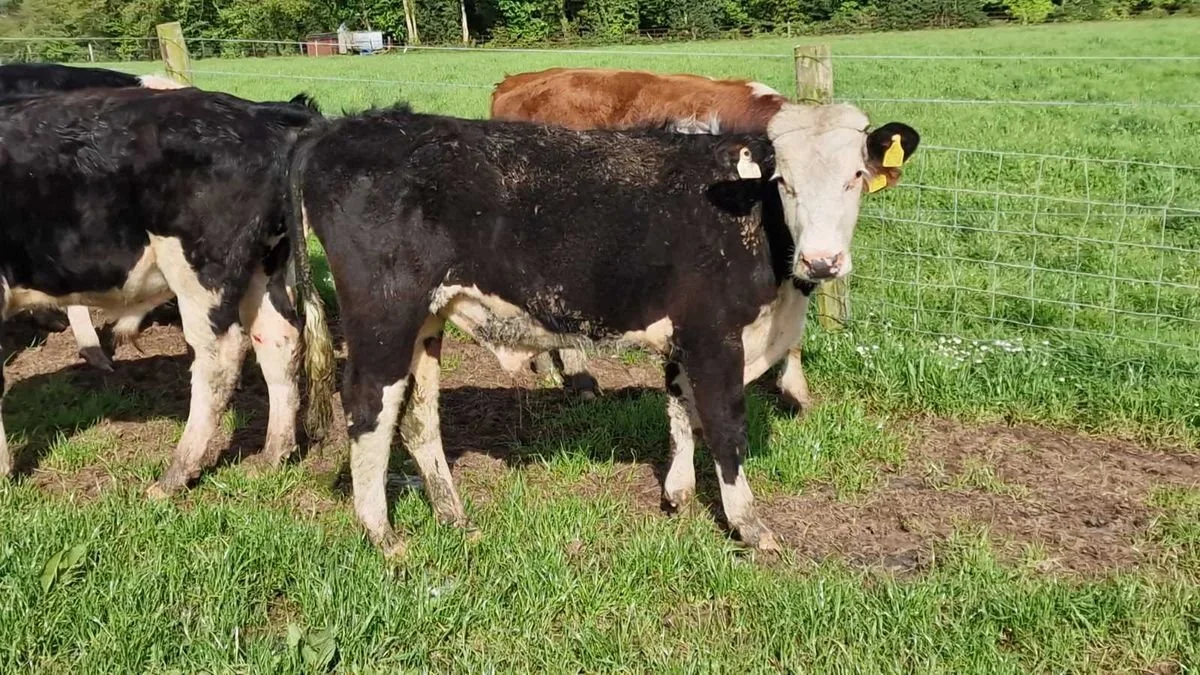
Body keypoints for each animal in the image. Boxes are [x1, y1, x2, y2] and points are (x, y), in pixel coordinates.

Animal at [290, 101, 919, 557]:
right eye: (783, 182)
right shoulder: (714, 335)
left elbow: (680, 409)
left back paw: (454, 517)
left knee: (418, 416)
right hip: (384, 314)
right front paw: (749, 525)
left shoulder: (683, 337)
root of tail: (347, 125)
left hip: (427, 320)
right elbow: (725, 427)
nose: (823, 261)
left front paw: (677, 494)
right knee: (368, 407)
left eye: (857, 176)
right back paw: (382, 536)